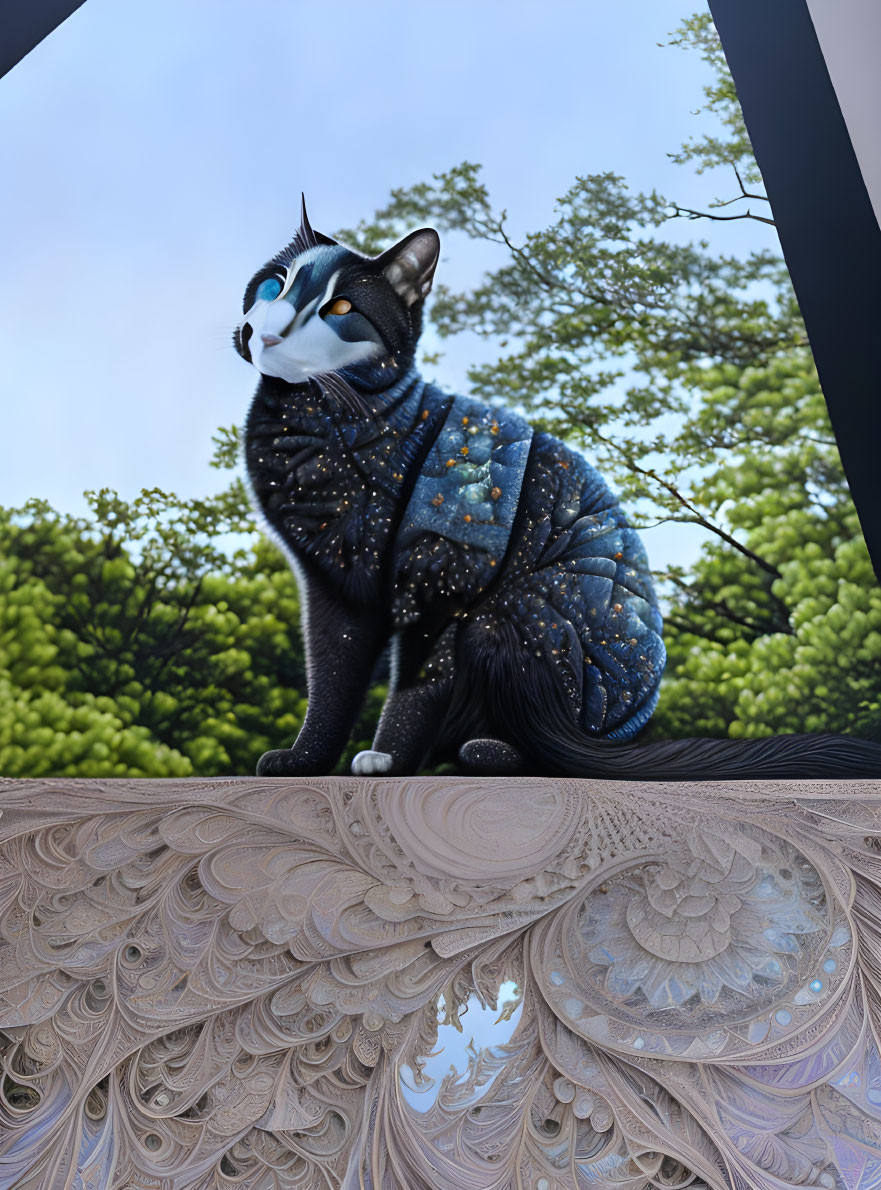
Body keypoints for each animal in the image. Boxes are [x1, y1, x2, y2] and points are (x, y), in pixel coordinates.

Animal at [234, 199, 881, 780]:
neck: (316, 421)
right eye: (271, 287)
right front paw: (303, 761)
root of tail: (626, 734)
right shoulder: (333, 587)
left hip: (508, 617)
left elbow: (417, 684)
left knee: (555, 752)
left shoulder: (448, 572)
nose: (270, 332)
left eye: (341, 307)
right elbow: (331, 679)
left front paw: (386, 761)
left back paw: (481, 754)